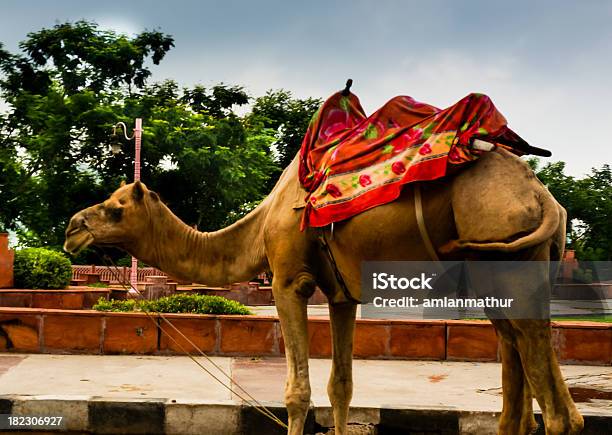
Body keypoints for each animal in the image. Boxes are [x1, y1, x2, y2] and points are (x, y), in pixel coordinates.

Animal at [63, 149, 584, 435]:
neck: (260, 225)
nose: (71, 229)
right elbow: (341, 387)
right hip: (504, 263)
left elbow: (298, 393)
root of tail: (544, 199)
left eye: (114, 208)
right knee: (520, 353)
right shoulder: (341, 295)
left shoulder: (289, 281)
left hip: (505, 243)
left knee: (554, 401)